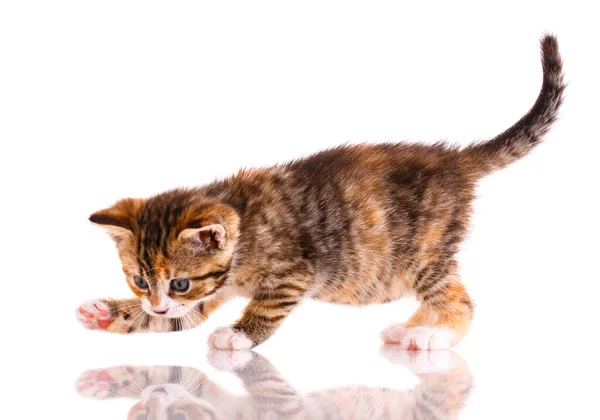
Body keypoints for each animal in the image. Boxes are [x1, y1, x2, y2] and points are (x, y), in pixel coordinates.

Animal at [75, 36, 564, 352]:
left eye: (179, 281)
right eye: (140, 281)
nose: (157, 305)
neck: (244, 231)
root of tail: (453, 159)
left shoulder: (292, 271)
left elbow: (268, 305)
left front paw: (238, 334)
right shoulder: (200, 297)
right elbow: (180, 317)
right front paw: (105, 313)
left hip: (422, 254)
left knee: (458, 297)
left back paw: (434, 334)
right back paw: (411, 328)